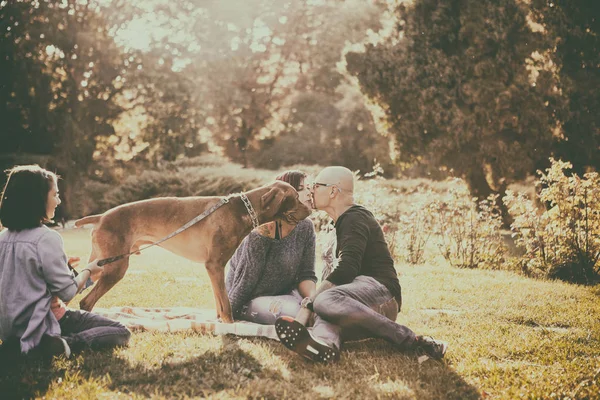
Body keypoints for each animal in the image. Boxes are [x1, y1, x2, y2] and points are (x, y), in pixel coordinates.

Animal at [72, 180, 312, 322]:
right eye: (296, 198)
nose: (311, 209)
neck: (241, 210)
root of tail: (101, 216)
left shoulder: (213, 269)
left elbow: (219, 301)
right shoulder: (214, 265)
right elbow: (226, 305)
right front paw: (230, 328)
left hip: (100, 265)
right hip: (115, 267)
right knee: (86, 301)